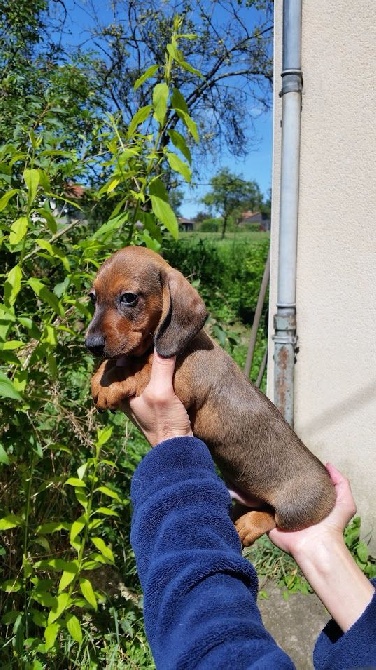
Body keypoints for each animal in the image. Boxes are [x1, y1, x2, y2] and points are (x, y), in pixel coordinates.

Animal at [85, 245, 334, 544]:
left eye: (129, 298)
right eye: (93, 298)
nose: (91, 345)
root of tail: (331, 490)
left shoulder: (179, 380)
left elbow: (140, 369)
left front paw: (111, 384)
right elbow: (123, 361)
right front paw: (101, 375)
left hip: (294, 509)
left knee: (274, 517)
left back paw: (249, 524)